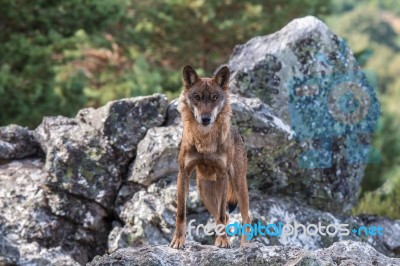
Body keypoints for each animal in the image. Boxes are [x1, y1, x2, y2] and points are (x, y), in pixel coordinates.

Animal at [169, 65, 250, 249]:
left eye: (215, 97)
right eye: (197, 97)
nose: (205, 119)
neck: (204, 139)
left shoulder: (222, 174)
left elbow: (221, 214)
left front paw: (223, 242)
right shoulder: (183, 174)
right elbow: (181, 213)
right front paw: (178, 240)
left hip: (238, 185)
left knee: (245, 218)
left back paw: (245, 246)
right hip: (204, 192)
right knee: (227, 217)